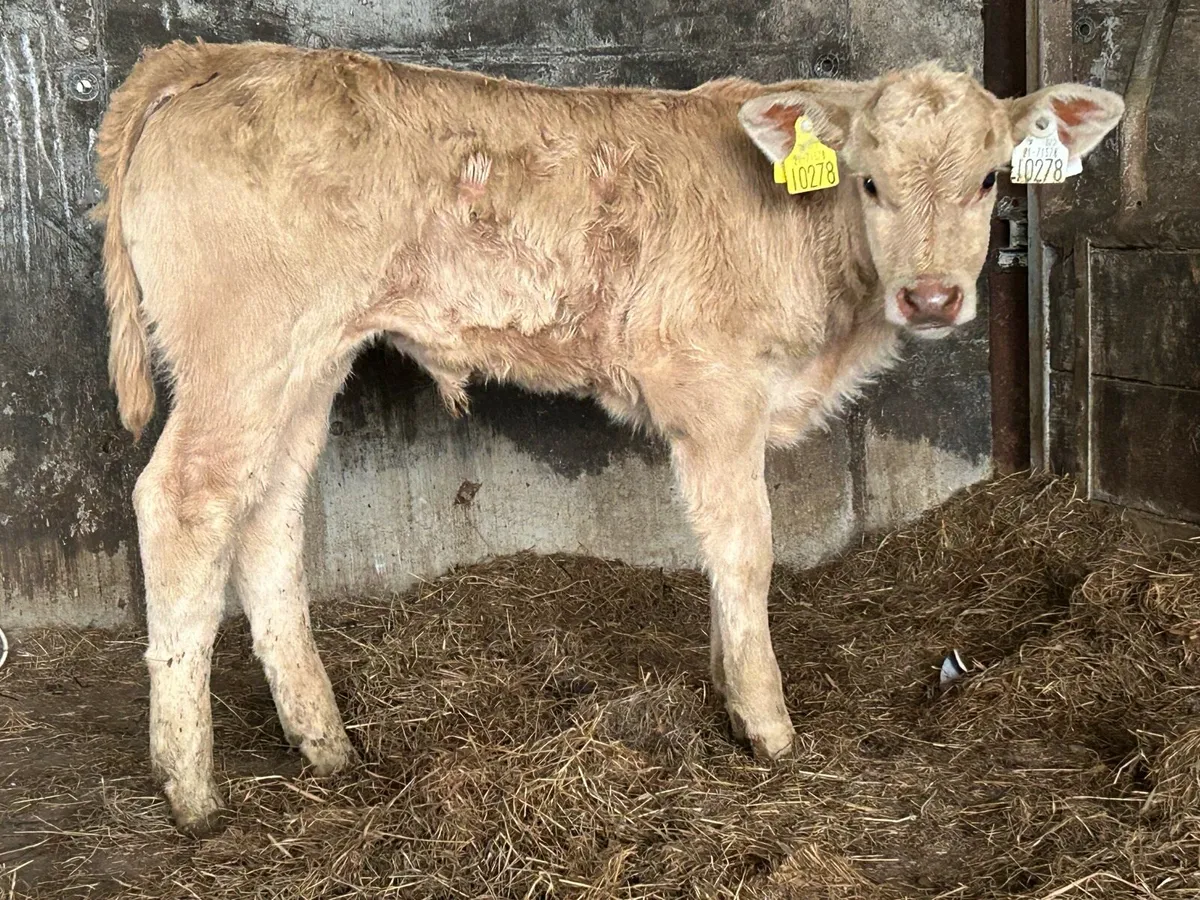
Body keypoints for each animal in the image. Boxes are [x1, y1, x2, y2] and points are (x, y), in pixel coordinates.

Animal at [94, 39, 1123, 835]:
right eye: (869, 181)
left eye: (989, 179)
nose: (934, 297)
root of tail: (222, 57)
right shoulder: (712, 388)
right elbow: (745, 548)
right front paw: (766, 723)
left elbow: (715, 553)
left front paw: (725, 687)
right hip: (241, 351)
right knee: (184, 501)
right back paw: (191, 790)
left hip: (308, 360)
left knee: (267, 513)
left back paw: (326, 745)